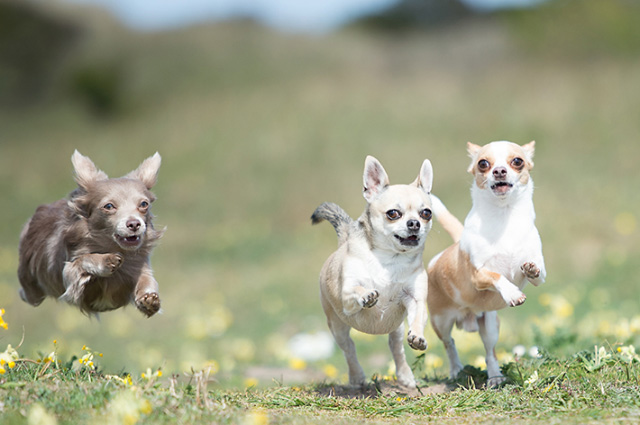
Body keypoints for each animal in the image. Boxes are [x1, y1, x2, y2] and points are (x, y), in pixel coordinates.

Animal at [18, 151, 165, 316]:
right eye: (109, 206)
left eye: (144, 204)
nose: (134, 224)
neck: (111, 246)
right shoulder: (69, 275)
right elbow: (84, 259)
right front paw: (106, 260)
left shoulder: (139, 269)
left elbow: (146, 281)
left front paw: (149, 298)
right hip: (31, 288)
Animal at [312, 156, 432, 388]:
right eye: (393, 214)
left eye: (426, 213)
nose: (414, 223)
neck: (390, 260)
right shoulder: (347, 295)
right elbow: (358, 290)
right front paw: (367, 294)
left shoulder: (415, 299)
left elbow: (417, 318)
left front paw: (418, 336)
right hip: (337, 326)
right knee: (349, 349)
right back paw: (357, 377)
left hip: (396, 328)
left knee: (396, 348)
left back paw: (405, 376)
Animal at [428, 141, 548, 386]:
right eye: (483, 163)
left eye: (517, 161)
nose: (499, 170)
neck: (503, 218)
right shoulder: (478, 275)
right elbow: (497, 276)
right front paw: (512, 294)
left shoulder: (540, 273)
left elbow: (536, 271)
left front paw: (530, 269)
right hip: (440, 322)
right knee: (449, 343)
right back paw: (455, 369)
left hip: (490, 326)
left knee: (490, 352)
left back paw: (495, 377)